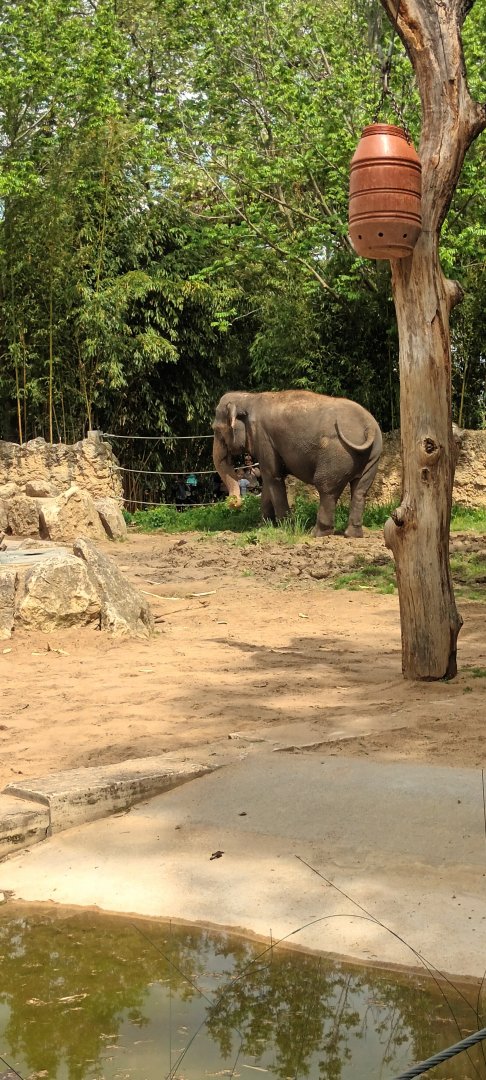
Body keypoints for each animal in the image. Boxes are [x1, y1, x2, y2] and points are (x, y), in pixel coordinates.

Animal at [212, 390, 383, 538]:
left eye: (216, 430)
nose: (233, 502)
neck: (249, 398)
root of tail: (368, 426)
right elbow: (269, 480)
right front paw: (264, 526)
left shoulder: (263, 437)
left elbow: (273, 477)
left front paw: (286, 527)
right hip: (372, 456)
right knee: (360, 490)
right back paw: (352, 535)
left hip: (339, 452)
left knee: (326, 488)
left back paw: (317, 533)